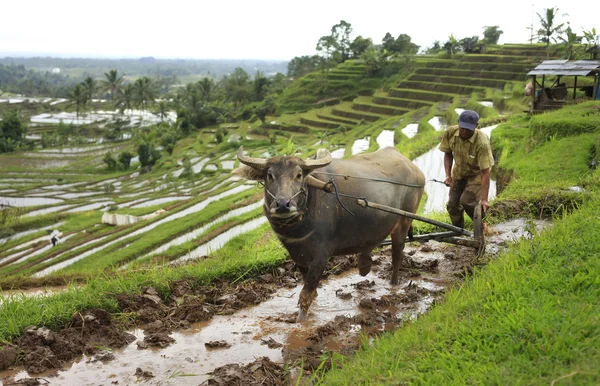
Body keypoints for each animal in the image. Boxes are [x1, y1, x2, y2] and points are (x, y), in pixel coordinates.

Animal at [234, 146, 426, 322]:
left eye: (299, 175)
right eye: (270, 175)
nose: (282, 204)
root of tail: (414, 169)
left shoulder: (321, 257)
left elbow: (305, 296)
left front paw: (301, 323)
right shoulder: (299, 257)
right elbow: (311, 292)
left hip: (404, 220)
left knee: (397, 253)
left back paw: (393, 284)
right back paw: (364, 263)